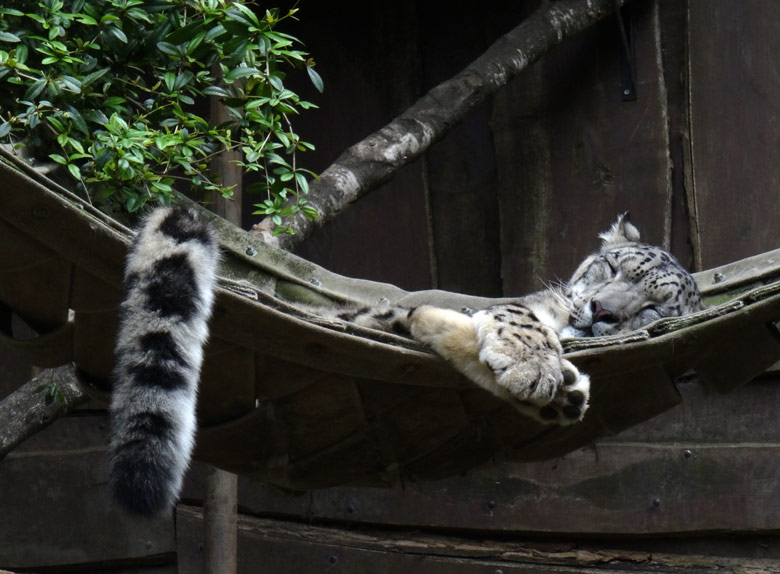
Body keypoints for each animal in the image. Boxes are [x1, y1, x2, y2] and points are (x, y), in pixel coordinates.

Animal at [108, 208, 700, 516]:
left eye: (652, 307)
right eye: (611, 268)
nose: (601, 311)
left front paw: (556, 386)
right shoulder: (510, 308)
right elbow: (514, 315)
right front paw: (535, 364)